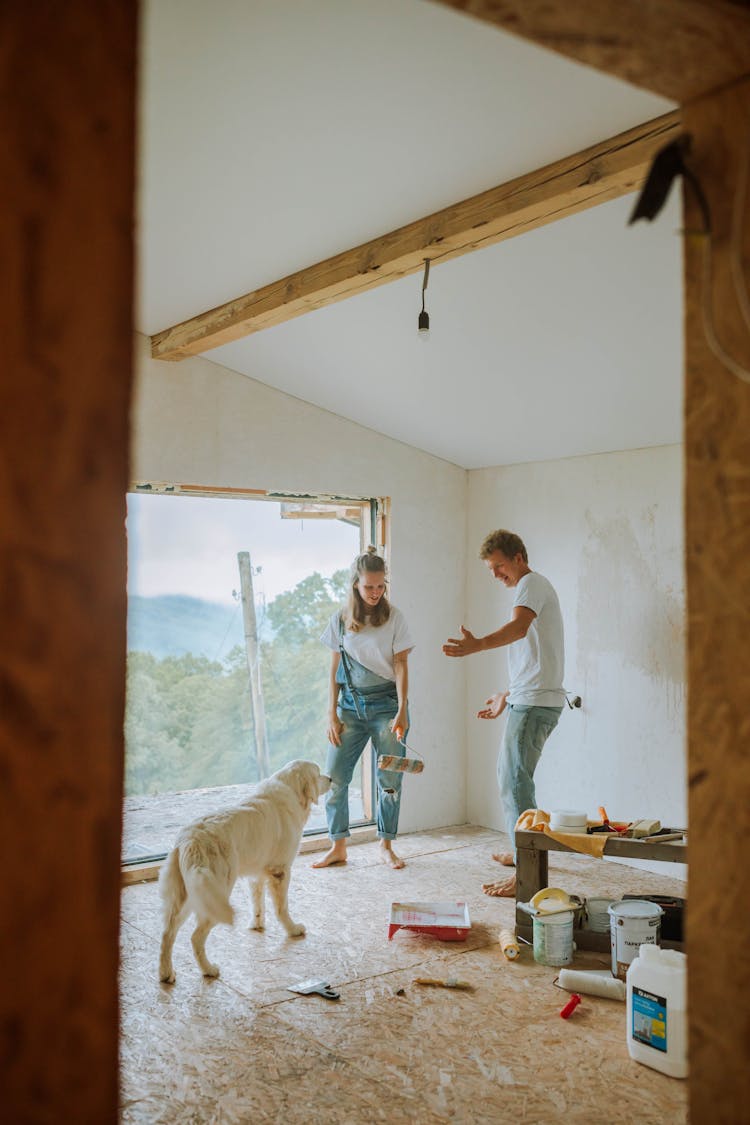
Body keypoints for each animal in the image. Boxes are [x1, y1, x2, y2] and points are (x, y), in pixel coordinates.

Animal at [157, 756, 328, 985]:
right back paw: (208, 970)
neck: (290, 791)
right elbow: (282, 908)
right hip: (216, 895)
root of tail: (190, 840)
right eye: (318, 774)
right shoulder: (280, 872)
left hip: (187, 897)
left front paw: (257, 925)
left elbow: (258, 904)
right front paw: (292, 930)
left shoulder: (256, 875)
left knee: (167, 933)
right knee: (195, 937)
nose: (331, 778)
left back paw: (166, 974)